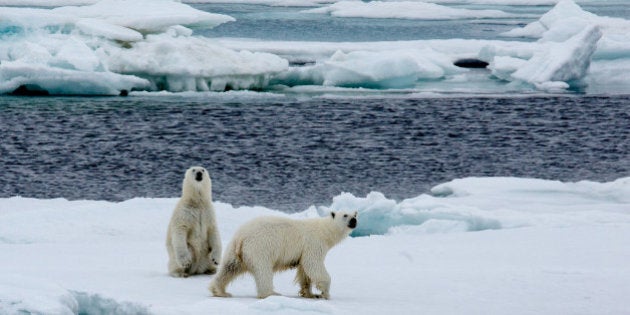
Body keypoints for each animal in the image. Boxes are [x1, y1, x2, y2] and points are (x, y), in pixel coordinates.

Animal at [210, 211, 358, 300]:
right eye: (345, 215)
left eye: (355, 213)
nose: (354, 220)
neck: (324, 231)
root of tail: (241, 237)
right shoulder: (313, 244)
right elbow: (313, 265)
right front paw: (324, 293)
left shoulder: (304, 250)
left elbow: (304, 272)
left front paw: (310, 294)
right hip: (260, 248)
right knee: (263, 271)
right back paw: (271, 293)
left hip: (234, 251)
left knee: (229, 268)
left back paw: (219, 290)